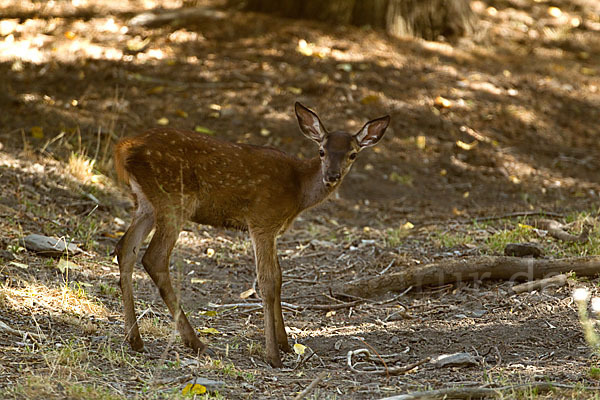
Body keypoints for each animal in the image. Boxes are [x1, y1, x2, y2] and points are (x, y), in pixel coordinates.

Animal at [115, 101, 392, 368]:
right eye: (321, 151)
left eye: (352, 154)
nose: (332, 176)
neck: (299, 192)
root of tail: (124, 149)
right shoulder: (262, 220)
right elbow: (267, 282)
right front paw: (273, 355)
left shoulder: (272, 229)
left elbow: (279, 278)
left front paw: (285, 344)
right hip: (174, 199)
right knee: (154, 257)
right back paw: (196, 343)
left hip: (146, 203)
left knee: (125, 248)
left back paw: (135, 339)